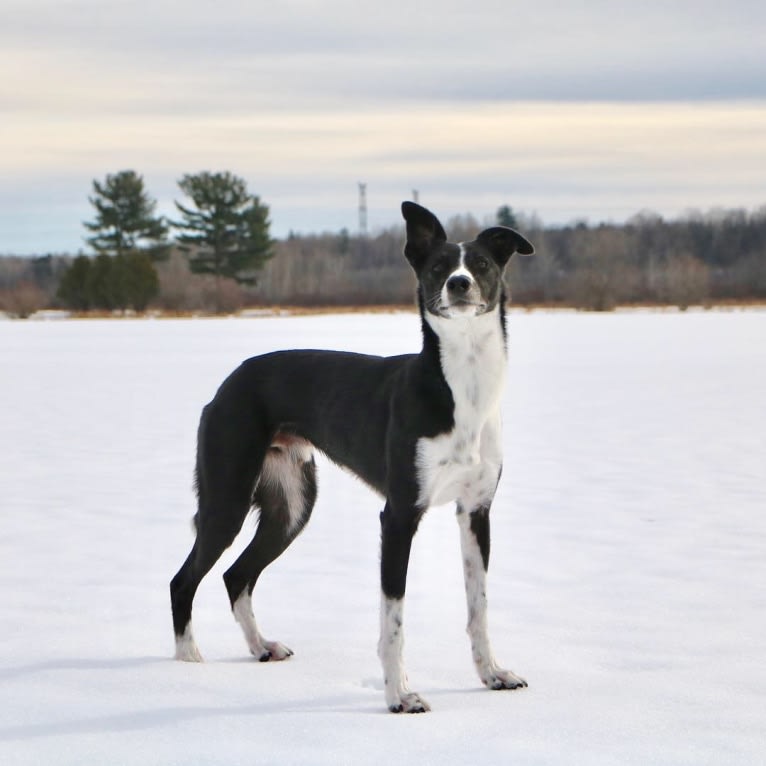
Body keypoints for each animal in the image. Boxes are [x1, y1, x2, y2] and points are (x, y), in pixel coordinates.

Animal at [170, 202, 536, 712]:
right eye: (438, 267)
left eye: (481, 264)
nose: (459, 284)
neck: (460, 388)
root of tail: (229, 382)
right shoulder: (400, 515)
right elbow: (393, 620)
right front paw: (400, 696)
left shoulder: (475, 511)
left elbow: (478, 607)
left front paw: (492, 675)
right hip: (227, 498)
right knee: (184, 580)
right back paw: (188, 668)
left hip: (291, 509)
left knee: (235, 575)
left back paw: (261, 647)